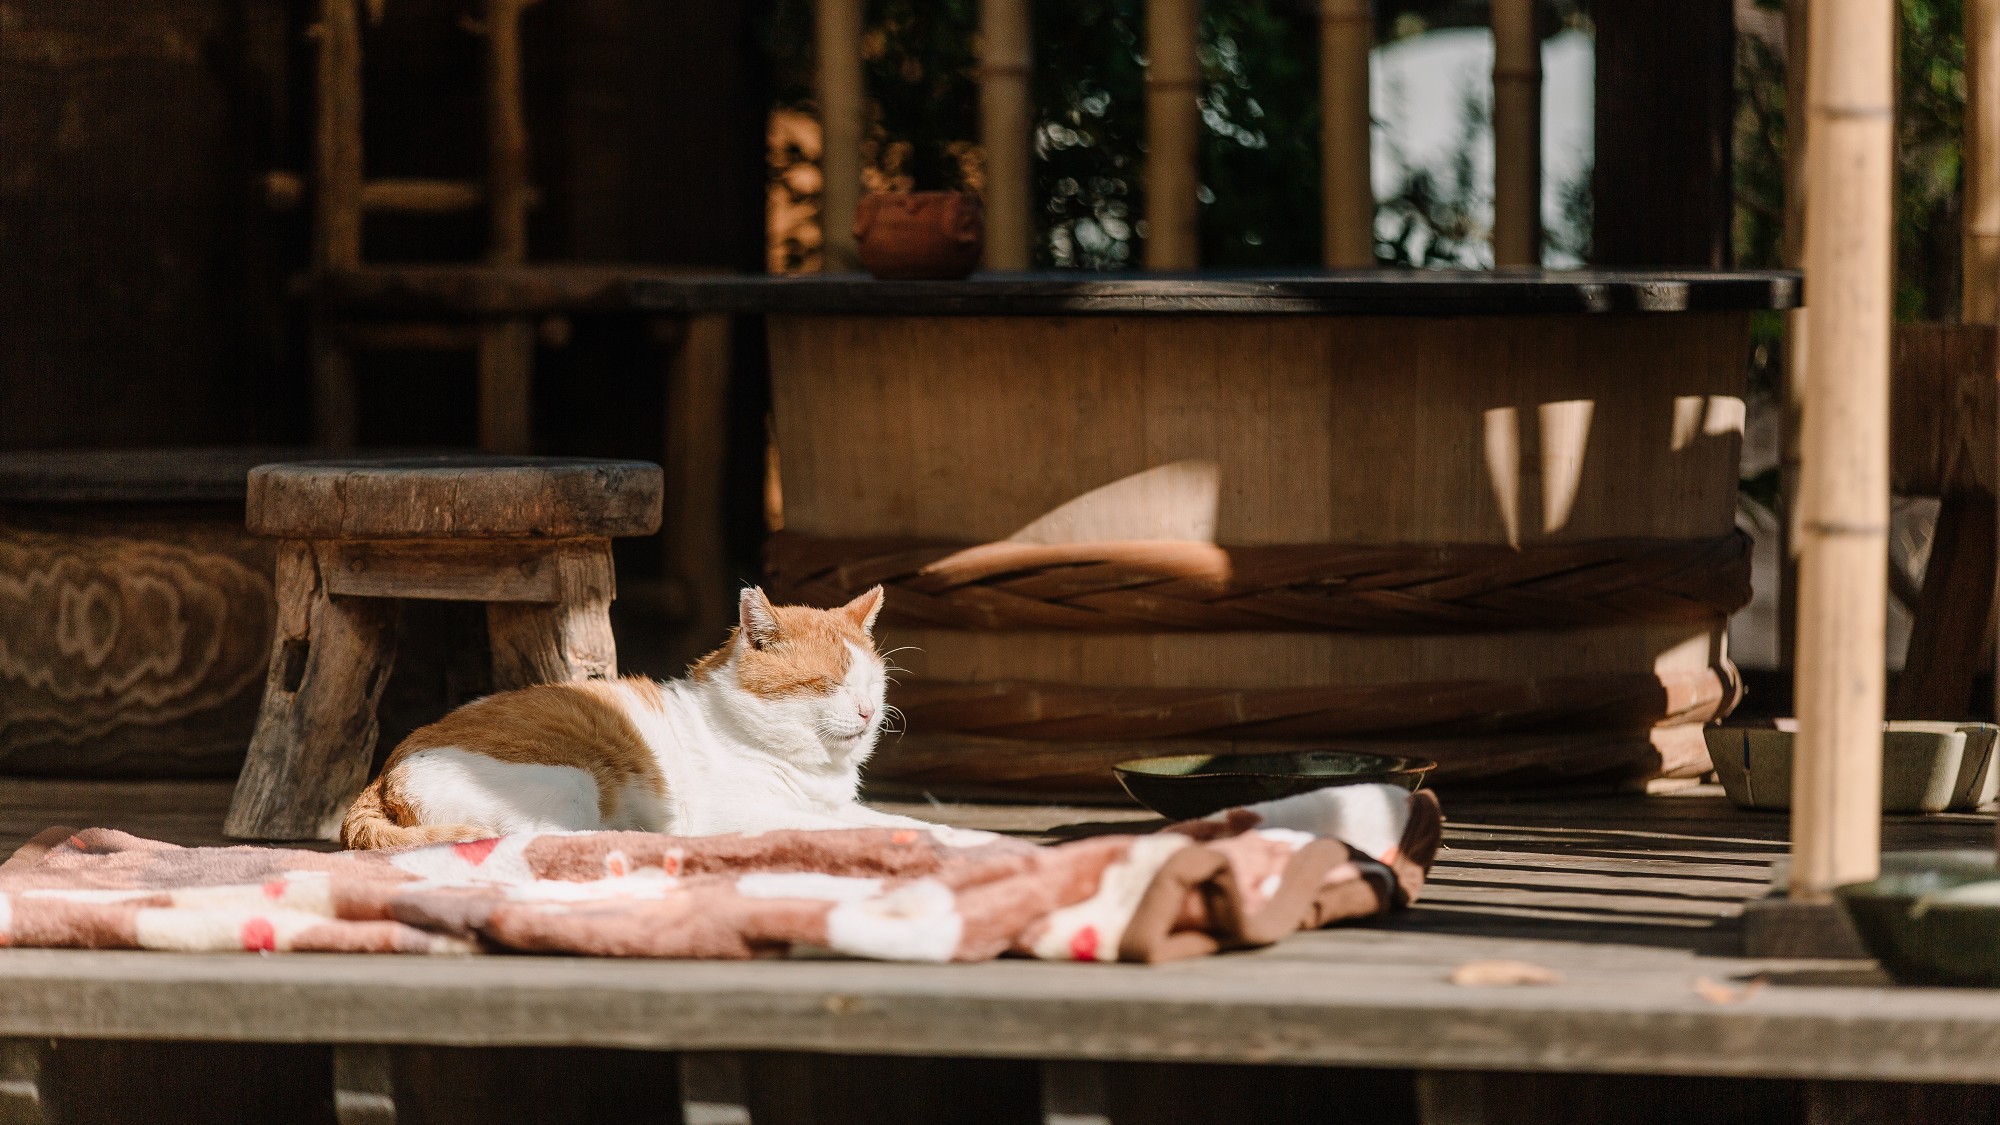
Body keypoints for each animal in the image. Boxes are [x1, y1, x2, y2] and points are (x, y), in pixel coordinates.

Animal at [342, 580, 928, 844]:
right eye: (829, 684)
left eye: (873, 685)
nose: (868, 712)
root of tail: (381, 779)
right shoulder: (743, 816)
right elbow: (835, 832)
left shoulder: (835, 807)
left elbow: (890, 821)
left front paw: (938, 838)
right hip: (572, 784)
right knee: (543, 835)